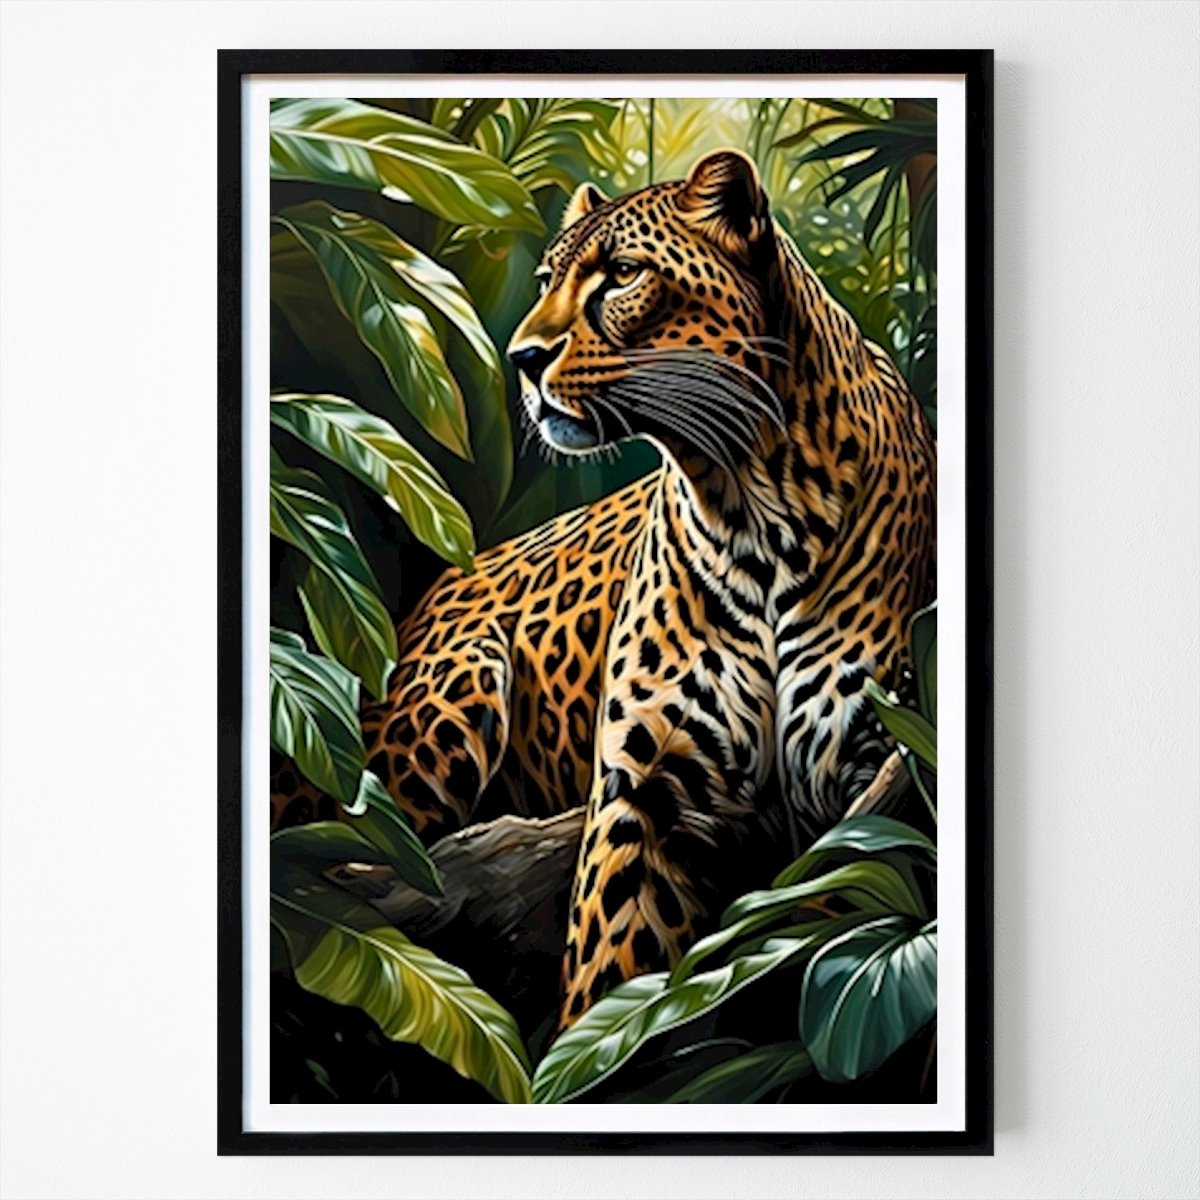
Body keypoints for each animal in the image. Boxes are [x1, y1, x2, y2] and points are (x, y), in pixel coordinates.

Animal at [271, 148, 936, 1030]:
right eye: (547, 278)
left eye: (621, 274)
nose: (521, 359)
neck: (751, 508)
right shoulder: (642, 792)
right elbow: (606, 974)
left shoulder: (860, 791)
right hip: (444, 696)